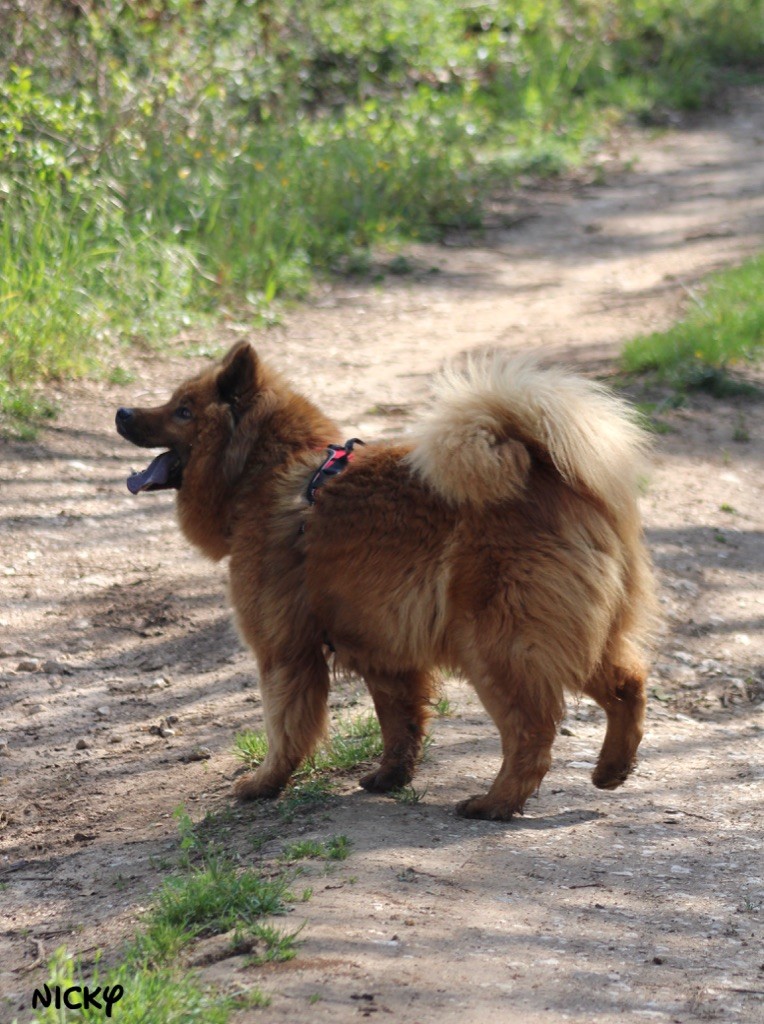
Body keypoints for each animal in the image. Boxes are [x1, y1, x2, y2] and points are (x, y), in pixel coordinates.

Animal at [116, 339, 651, 819]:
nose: (121, 411)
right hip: (570, 637)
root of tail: (552, 474)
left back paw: (495, 803)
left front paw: (265, 783)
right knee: (628, 683)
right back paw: (611, 768)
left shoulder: (283, 652)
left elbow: (285, 727)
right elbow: (399, 723)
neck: (261, 473)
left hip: (499, 648)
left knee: (531, 734)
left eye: (183, 410)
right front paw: (391, 777)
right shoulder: (384, 650)